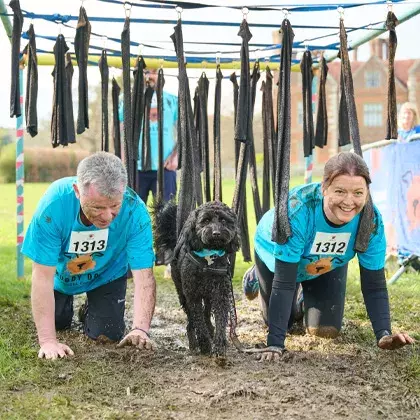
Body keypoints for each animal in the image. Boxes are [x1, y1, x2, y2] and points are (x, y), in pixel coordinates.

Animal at [153, 199, 240, 356]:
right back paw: (194, 343)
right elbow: (198, 320)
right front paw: (204, 345)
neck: (208, 258)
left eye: (224, 220)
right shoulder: (192, 296)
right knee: (191, 321)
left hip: (208, 296)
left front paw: (219, 345)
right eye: (206, 220)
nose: (216, 233)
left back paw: (210, 330)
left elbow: (220, 319)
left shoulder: (220, 295)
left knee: (206, 314)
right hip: (183, 295)